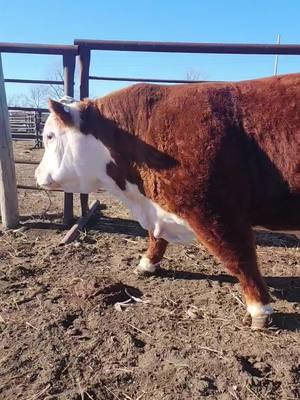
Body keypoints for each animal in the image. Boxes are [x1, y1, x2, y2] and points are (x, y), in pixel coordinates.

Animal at [35, 73, 300, 330]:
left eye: (49, 136)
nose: (37, 174)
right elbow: (156, 238)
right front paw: (146, 263)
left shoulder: (216, 213)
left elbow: (239, 259)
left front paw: (260, 309)